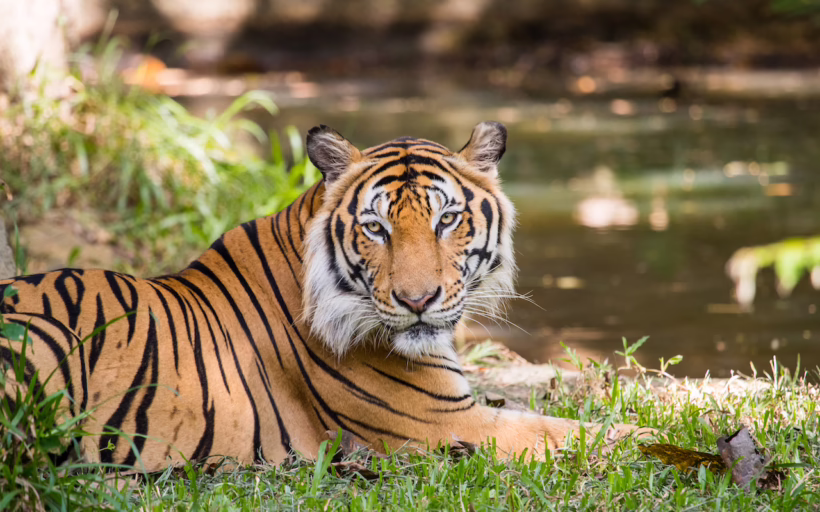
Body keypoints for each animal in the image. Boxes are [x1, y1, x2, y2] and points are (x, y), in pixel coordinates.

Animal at [0, 122, 651, 471]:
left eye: (447, 220)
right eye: (376, 228)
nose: (418, 301)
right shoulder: (445, 423)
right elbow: (586, 431)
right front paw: (664, 439)